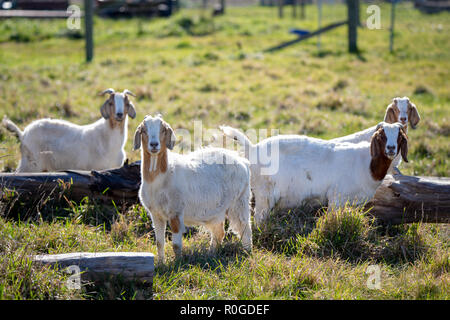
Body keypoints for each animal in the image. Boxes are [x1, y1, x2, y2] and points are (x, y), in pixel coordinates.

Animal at [134, 114, 253, 264]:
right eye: (143, 130)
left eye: (163, 129)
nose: (154, 144)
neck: (160, 178)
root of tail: (242, 160)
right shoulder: (156, 214)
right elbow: (159, 243)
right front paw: (161, 263)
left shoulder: (176, 212)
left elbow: (176, 245)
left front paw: (177, 264)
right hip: (216, 210)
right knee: (219, 232)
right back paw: (210, 255)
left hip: (239, 201)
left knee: (245, 228)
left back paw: (247, 252)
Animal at [220, 121, 410, 226]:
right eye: (381, 136)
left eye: (400, 137)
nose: (391, 148)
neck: (367, 162)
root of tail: (252, 148)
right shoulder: (336, 198)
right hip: (264, 193)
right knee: (259, 217)